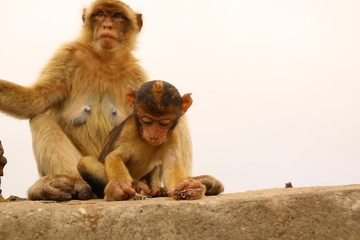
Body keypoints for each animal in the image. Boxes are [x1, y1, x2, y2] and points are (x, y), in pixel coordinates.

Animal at [78, 80, 224, 201]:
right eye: (147, 121)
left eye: (164, 123)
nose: (154, 136)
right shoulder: (129, 130)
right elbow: (114, 156)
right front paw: (118, 185)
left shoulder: (172, 136)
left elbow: (172, 164)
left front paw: (188, 188)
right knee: (85, 162)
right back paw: (135, 186)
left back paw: (157, 189)